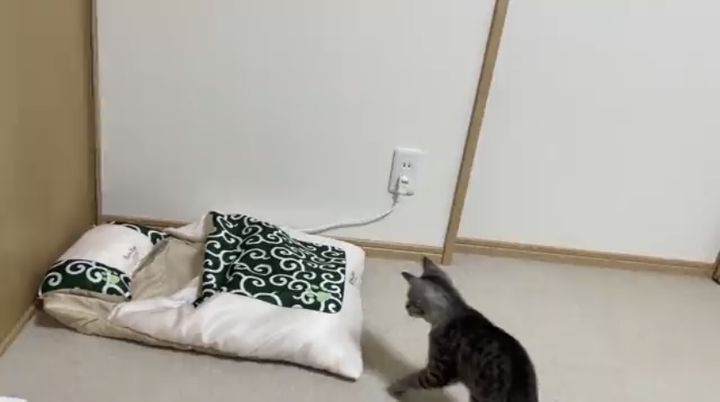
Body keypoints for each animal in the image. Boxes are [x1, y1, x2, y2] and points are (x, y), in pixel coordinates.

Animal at [388, 257, 538, 402]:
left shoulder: (438, 373)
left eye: (409, 298)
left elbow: (414, 378)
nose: (406, 306)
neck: (452, 315)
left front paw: (396, 386)